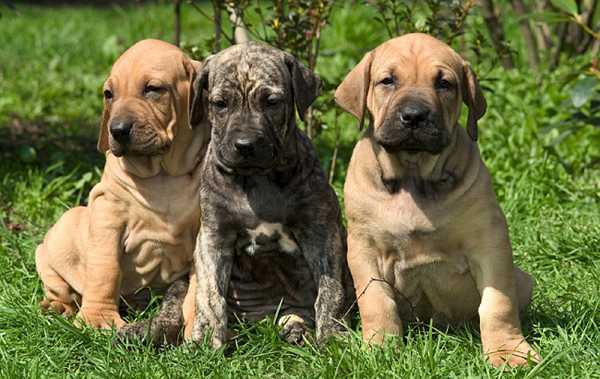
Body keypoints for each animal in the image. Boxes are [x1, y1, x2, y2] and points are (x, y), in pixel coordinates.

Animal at [35, 37, 209, 330]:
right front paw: (97, 319)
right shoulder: (108, 213)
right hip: (63, 233)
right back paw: (57, 306)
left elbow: (202, 281)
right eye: (109, 94)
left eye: (152, 89)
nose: (116, 130)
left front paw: (198, 322)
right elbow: (104, 270)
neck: (161, 175)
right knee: (60, 285)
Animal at [190, 43, 354, 348]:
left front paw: (332, 334)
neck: (259, 179)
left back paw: (297, 330)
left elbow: (330, 289)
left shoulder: (321, 232)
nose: (245, 145)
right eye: (220, 104)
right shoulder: (213, 235)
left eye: (272, 102)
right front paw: (206, 336)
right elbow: (210, 293)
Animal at [338, 35, 540, 368]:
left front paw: (508, 351)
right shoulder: (363, 247)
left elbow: (498, 303)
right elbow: (376, 300)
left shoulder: (490, 242)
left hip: (524, 279)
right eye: (387, 81)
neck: (414, 175)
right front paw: (379, 348)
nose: (414, 116)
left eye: (444, 83)